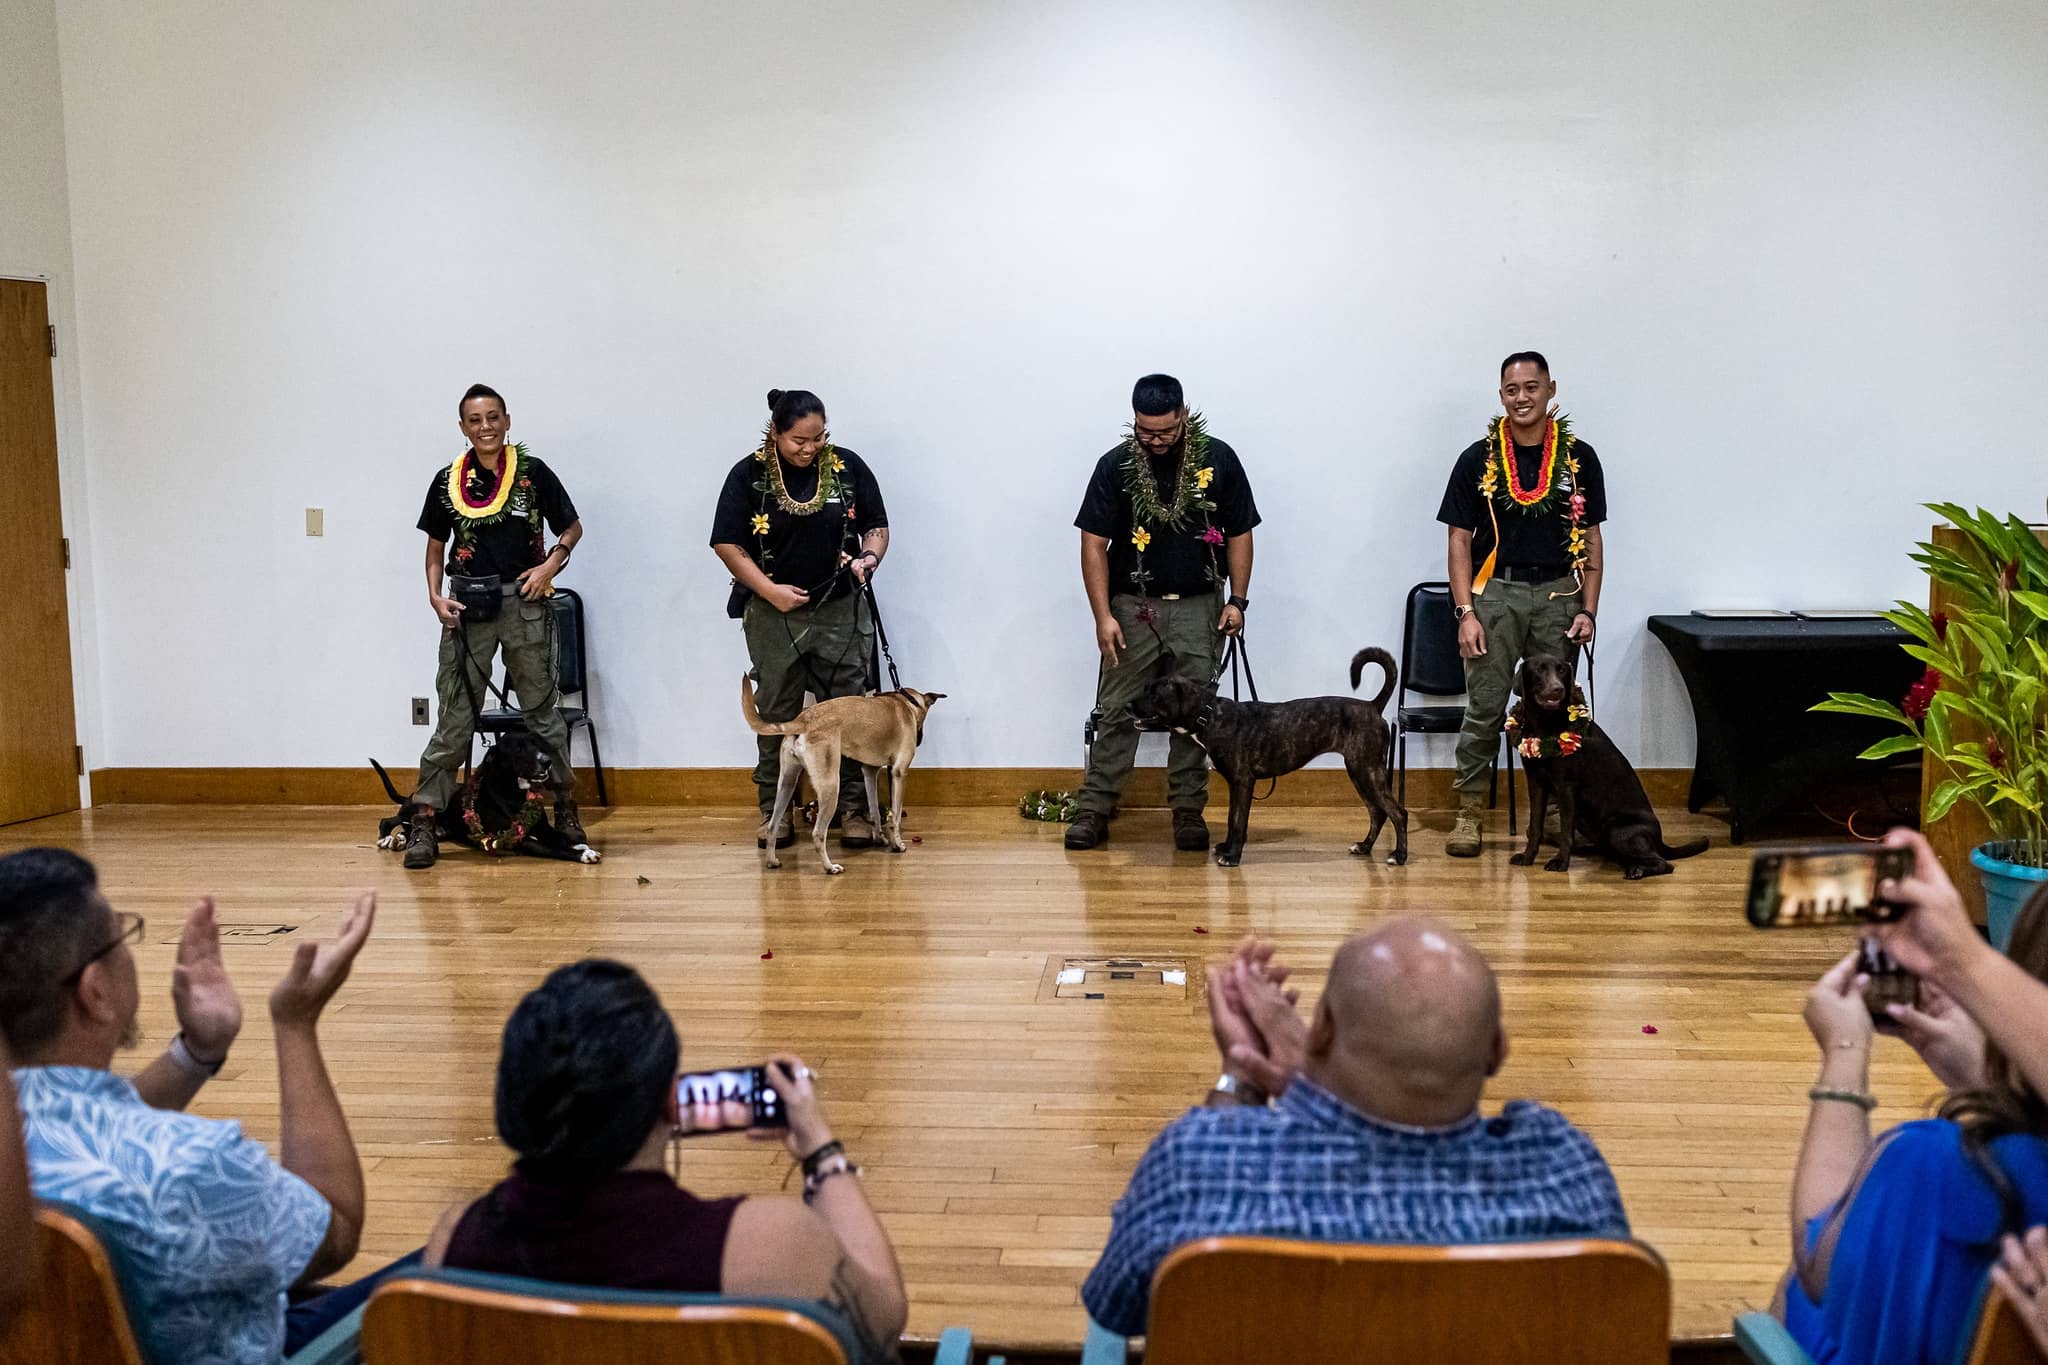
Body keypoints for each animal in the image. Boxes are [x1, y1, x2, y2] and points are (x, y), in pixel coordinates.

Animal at [370, 732, 598, 871]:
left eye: (536, 743)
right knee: (389, 820)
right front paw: (583, 854)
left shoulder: (542, 827)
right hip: (415, 810)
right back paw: (387, 839)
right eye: (518, 749)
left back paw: (399, 840)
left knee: (407, 829)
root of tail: (412, 794)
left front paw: (579, 845)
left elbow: (560, 837)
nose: (547, 761)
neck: (514, 793)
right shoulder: (519, 839)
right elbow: (553, 848)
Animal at [741, 671, 946, 875]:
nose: (919, 740)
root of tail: (803, 720)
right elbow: (895, 816)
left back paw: (772, 860)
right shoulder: (899, 773)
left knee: (772, 826)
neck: (906, 702)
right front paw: (897, 844)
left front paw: (879, 838)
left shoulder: (869, 772)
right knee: (818, 833)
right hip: (830, 786)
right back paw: (830, 867)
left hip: (787, 782)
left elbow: (874, 810)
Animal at [1122, 650, 1409, 863]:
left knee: (1398, 813)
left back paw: (1399, 856)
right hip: (1359, 772)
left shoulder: (1242, 782)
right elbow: (1232, 819)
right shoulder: (1235, 785)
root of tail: (1372, 706)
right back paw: (1364, 847)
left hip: (1368, 770)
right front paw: (1227, 848)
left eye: (1155, 694)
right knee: (1377, 812)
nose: (1127, 705)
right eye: (1146, 688)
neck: (1210, 715)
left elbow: (1238, 821)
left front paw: (1233, 856)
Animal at [1515, 654, 1703, 888]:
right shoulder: (1536, 784)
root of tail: (1659, 838)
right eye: (1539, 670)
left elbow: (1565, 830)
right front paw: (1527, 857)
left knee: (1664, 864)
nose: (1557, 689)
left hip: (1616, 830)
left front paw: (1561, 862)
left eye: (1562, 671)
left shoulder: (1566, 787)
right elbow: (1535, 827)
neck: (1545, 725)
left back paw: (1637, 870)